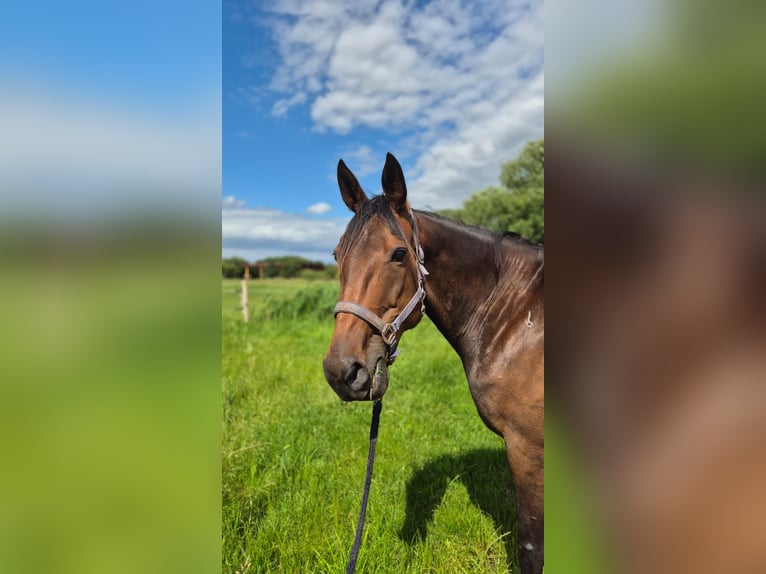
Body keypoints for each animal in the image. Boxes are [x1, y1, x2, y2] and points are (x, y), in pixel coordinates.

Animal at [324, 154, 544, 574]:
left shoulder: (526, 448)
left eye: (398, 254)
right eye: (336, 255)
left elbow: (531, 548)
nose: (341, 372)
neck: (517, 319)